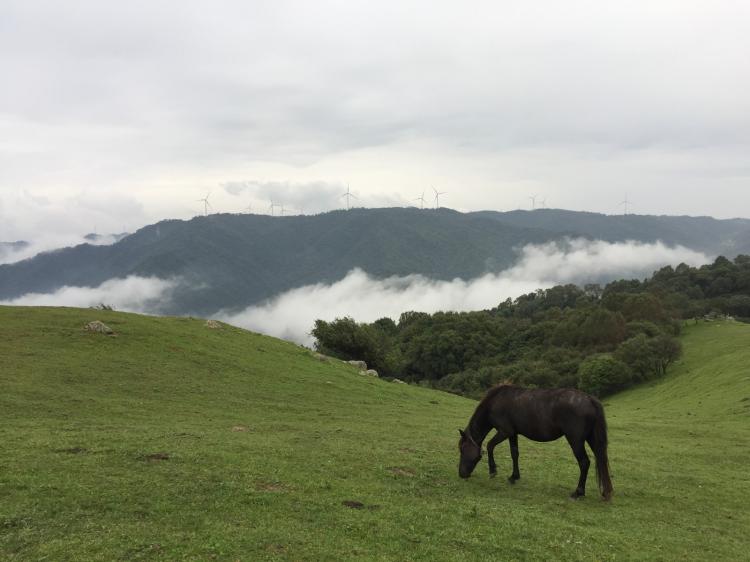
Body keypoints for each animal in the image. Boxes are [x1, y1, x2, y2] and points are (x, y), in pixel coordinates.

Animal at [462, 382, 612, 496]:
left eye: (462, 449)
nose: (461, 474)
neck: (495, 401)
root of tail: (589, 399)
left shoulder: (504, 432)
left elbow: (490, 446)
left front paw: (493, 471)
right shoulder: (513, 433)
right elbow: (514, 453)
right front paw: (514, 476)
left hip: (576, 441)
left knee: (584, 462)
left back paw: (578, 492)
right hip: (591, 439)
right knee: (600, 459)